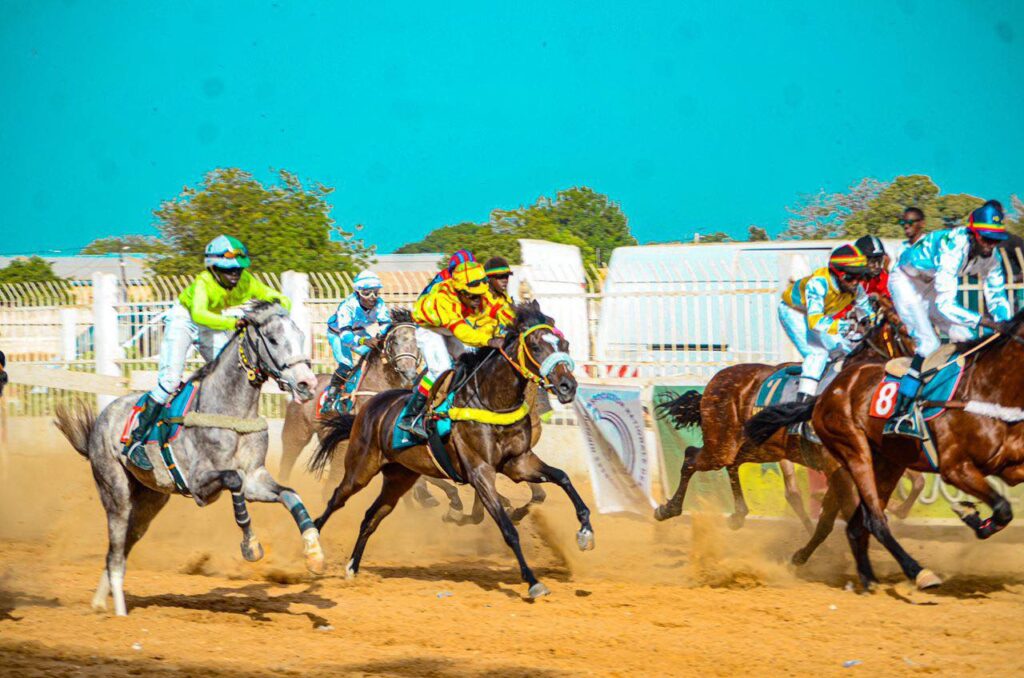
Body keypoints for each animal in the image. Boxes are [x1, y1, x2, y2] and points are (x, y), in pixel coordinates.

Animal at [52, 301, 323, 614]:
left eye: (301, 336)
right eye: (274, 339)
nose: (307, 384)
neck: (232, 412)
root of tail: (100, 421)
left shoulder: (255, 477)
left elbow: (289, 494)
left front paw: (314, 553)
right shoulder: (199, 486)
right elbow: (234, 480)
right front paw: (251, 545)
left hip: (150, 501)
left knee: (119, 549)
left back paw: (99, 602)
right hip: (115, 493)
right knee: (116, 553)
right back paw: (119, 612)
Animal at [305, 303, 593, 602]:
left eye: (564, 344)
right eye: (535, 347)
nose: (567, 386)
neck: (490, 401)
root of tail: (370, 406)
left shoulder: (519, 462)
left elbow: (562, 477)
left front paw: (585, 531)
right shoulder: (480, 472)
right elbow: (507, 528)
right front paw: (533, 581)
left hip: (400, 477)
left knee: (372, 516)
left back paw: (353, 566)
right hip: (361, 468)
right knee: (336, 499)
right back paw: (313, 551)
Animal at [655, 301, 913, 565]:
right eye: (905, 330)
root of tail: (714, 382)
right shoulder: (839, 467)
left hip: (758, 447)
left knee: (732, 464)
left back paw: (738, 515)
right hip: (721, 445)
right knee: (691, 457)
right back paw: (668, 509)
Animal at [749, 311, 1024, 594]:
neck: (987, 391)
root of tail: (825, 395)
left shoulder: (1010, 466)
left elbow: (1004, 508)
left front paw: (972, 515)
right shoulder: (955, 468)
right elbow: (1002, 507)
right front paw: (970, 515)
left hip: (889, 462)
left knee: (857, 523)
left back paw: (867, 577)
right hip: (854, 451)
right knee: (874, 520)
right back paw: (919, 572)